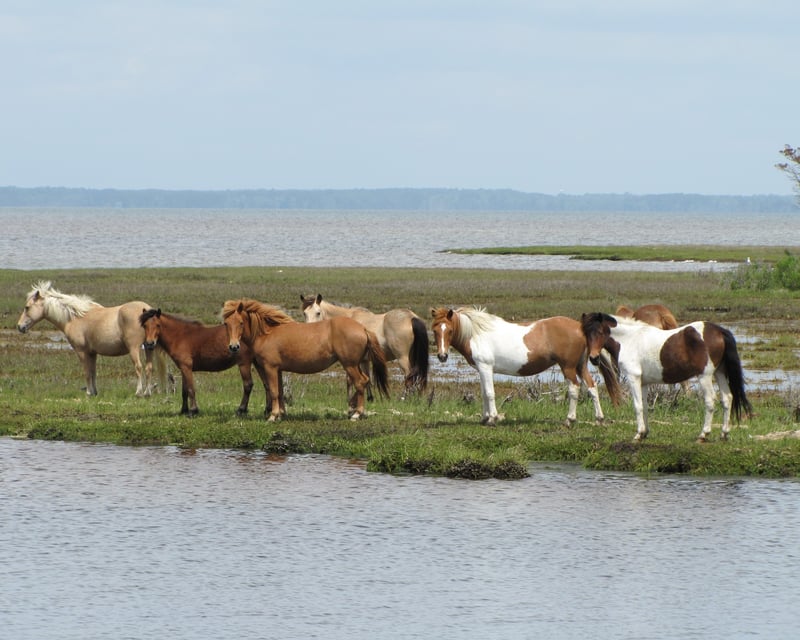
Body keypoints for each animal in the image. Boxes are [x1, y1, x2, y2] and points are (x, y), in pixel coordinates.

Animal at [16, 281, 167, 396]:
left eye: (27, 307)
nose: (19, 326)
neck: (74, 318)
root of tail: (146, 310)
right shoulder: (92, 353)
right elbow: (93, 372)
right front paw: (94, 392)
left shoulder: (81, 352)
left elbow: (87, 372)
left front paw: (89, 392)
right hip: (149, 347)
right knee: (148, 368)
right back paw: (147, 392)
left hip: (134, 348)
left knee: (139, 367)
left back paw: (139, 392)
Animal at [222, 299, 389, 421]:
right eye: (226, 324)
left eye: (241, 323)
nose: (234, 346)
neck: (267, 333)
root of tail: (363, 328)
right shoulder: (279, 370)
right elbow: (280, 392)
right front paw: (281, 414)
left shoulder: (270, 367)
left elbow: (274, 391)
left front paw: (273, 416)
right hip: (356, 364)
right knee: (366, 380)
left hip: (350, 364)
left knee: (360, 382)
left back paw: (356, 413)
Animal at [301, 293, 429, 394]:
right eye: (304, 313)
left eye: (318, 313)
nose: (309, 330)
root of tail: (411, 318)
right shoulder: (364, 361)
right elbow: (367, 379)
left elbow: (351, 379)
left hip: (402, 357)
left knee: (409, 376)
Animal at [430, 307, 620, 427]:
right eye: (435, 330)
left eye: (449, 331)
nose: (442, 356)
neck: (477, 334)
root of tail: (580, 328)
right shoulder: (482, 369)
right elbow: (484, 393)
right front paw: (484, 418)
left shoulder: (485, 367)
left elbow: (490, 393)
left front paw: (492, 419)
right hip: (580, 366)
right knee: (592, 386)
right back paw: (599, 418)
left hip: (568, 367)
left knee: (574, 388)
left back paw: (569, 419)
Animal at [580, 312, 753, 442]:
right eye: (586, 334)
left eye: (601, 332)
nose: (594, 358)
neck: (629, 339)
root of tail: (719, 331)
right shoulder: (643, 382)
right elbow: (645, 406)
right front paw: (644, 433)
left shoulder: (633, 378)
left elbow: (637, 406)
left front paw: (638, 434)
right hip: (720, 372)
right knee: (727, 399)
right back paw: (724, 433)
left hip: (705, 376)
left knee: (710, 401)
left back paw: (703, 434)